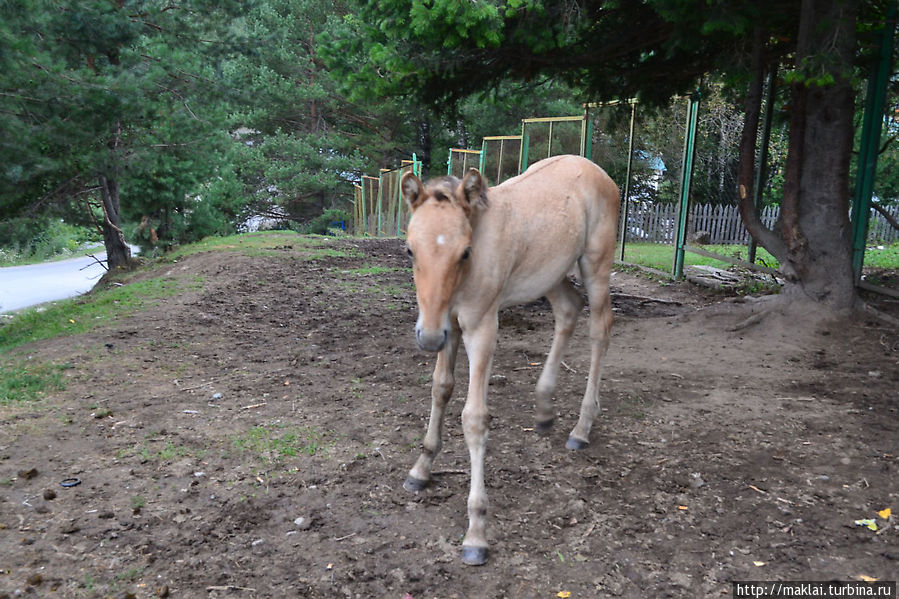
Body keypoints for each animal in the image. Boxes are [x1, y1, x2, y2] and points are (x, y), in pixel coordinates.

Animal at [400, 155, 620, 568]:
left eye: (464, 252)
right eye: (409, 250)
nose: (429, 338)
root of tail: (597, 171)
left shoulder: (480, 326)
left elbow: (474, 418)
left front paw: (476, 533)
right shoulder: (449, 324)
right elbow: (440, 389)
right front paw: (421, 469)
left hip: (596, 264)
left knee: (600, 328)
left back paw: (582, 427)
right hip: (550, 274)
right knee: (569, 310)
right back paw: (545, 408)